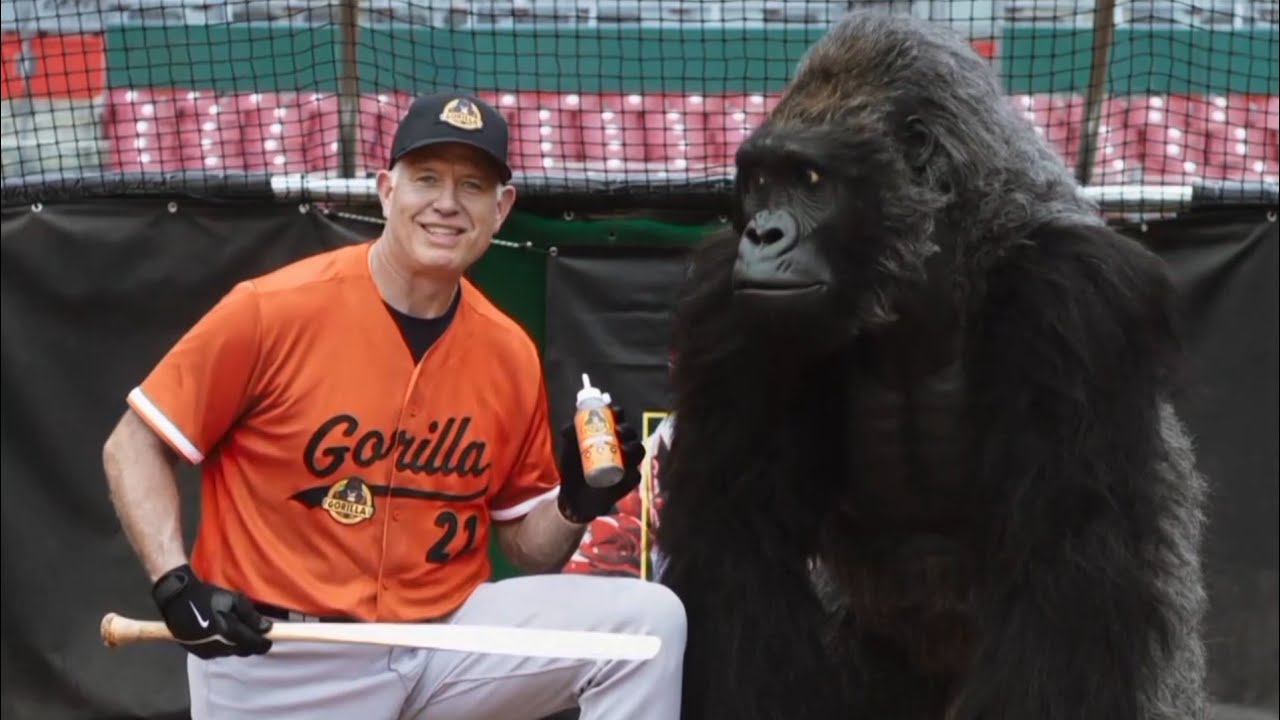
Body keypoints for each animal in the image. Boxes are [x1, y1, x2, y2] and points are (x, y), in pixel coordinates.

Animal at [656, 11, 1210, 720]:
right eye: (758, 181)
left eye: (810, 180)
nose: (762, 234)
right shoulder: (726, 309)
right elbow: (737, 542)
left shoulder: (1076, 297)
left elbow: (1072, 568)